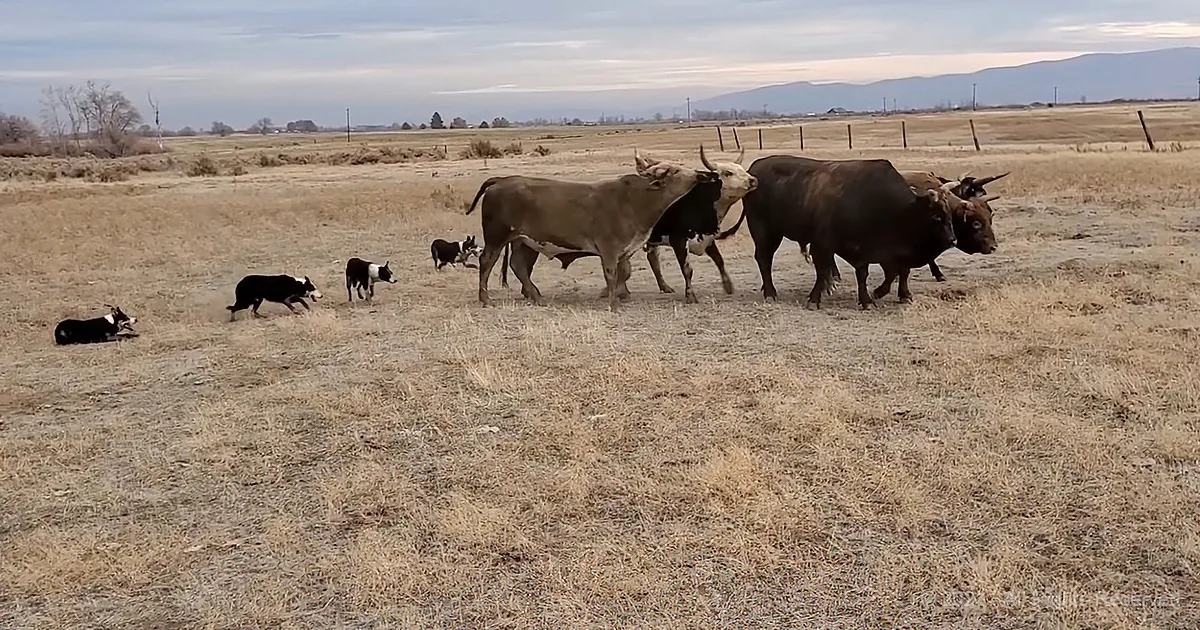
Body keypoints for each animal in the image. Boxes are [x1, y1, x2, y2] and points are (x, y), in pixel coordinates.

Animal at [464, 150, 718, 311]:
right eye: (674, 171)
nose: (700, 174)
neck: (634, 200)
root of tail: (501, 180)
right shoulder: (609, 249)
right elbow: (611, 273)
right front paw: (612, 301)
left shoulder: (625, 251)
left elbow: (624, 273)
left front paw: (619, 294)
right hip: (497, 238)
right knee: (487, 262)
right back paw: (486, 299)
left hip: (524, 241)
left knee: (518, 266)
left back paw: (536, 296)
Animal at [505, 146, 759, 304]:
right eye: (728, 172)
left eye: (741, 170)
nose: (753, 180)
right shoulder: (678, 240)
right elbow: (687, 269)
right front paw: (691, 296)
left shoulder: (707, 239)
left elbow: (720, 261)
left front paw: (728, 286)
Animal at [716, 154, 960, 310]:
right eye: (936, 216)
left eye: (949, 214)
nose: (952, 240)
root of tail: (753, 173)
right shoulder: (826, 244)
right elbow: (826, 271)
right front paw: (816, 298)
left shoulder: (873, 250)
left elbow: (879, 272)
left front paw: (872, 298)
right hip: (765, 231)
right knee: (764, 259)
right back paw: (770, 292)